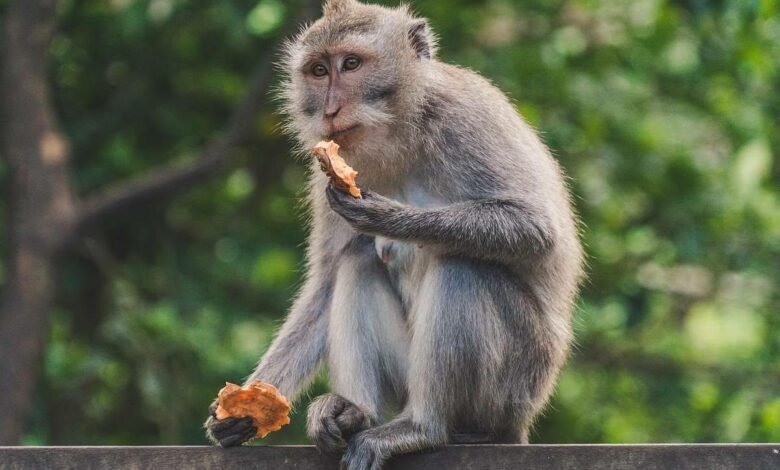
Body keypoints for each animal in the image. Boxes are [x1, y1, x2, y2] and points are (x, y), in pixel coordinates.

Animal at [204, 1, 580, 468]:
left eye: (351, 64)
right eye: (318, 71)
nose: (330, 109)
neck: (400, 130)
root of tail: (521, 423)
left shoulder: (464, 119)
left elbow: (536, 228)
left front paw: (385, 217)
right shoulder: (326, 169)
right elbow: (325, 284)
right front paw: (247, 408)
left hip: (512, 388)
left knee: (461, 264)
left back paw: (422, 429)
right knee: (357, 262)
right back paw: (354, 413)